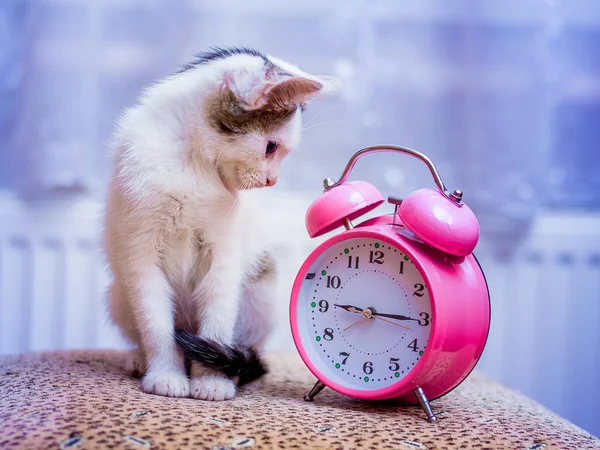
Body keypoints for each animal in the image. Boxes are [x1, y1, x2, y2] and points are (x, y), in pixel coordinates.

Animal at [103, 47, 338, 400]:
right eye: (270, 146)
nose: (272, 180)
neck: (192, 163)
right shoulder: (140, 251)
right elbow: (155, 320)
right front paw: (166, 374)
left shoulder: (224, 251)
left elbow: (218, 309)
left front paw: (212, 381)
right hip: (118, 294)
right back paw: (140, 358)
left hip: (261, 290)